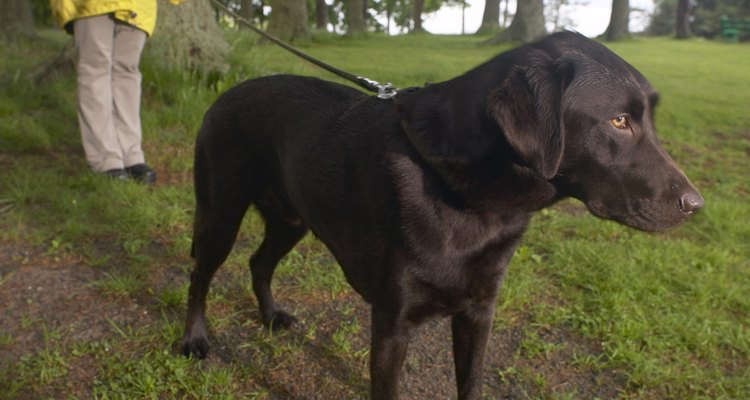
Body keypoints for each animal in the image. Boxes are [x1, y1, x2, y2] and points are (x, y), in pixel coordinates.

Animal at [182, 32, 704, 398]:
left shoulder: (478, 312)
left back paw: (271, 317)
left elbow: (470, 384)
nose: (696, 205)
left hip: (290, 220)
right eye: (619, 121)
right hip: (220, 213)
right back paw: (193, 341)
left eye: (648, 119)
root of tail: (226, 91)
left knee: (258, 262)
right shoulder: (391, 323)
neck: (471, 201)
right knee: (200, 275)